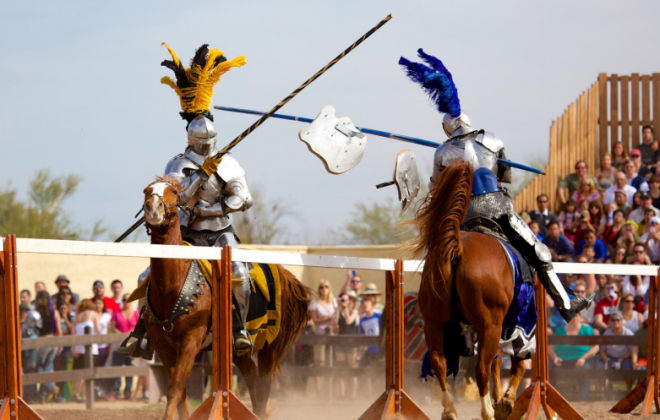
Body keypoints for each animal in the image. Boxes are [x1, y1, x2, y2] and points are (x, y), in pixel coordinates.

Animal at [141, 178, 310, 420]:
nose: (153, 209)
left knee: (263, 383)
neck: (172, 285)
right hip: (240, 353)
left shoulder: (190, 341)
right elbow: (179, 391)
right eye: (146, 191)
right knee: (252, 379)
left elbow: (175, 388)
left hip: (269, 345)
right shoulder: (162, 344)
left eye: (173, 191)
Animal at [410, 162, 528, 420]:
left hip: (435, 323)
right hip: (489, 325)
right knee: (481, 367)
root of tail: (458, 247)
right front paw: (506, 402)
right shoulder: (516, 323)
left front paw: (501, 399)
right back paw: (487, 411)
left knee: (440, 362)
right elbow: (517, 362)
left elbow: (497, 361)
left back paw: (450, 409)